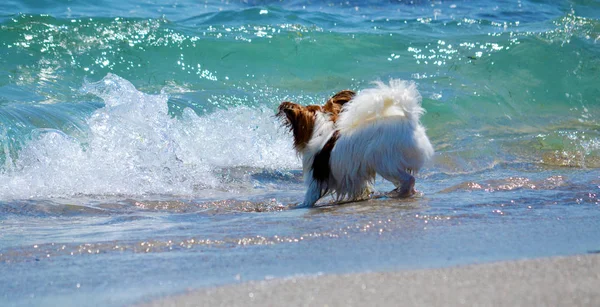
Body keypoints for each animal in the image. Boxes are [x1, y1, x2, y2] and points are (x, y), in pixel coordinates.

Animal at [276, 80, 432, 208]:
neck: (322, 129)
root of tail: (410, 121)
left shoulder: (316, 179)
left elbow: (309, 198)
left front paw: (299, 206)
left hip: (385, 163)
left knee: (409, 179)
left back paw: (402, 193)